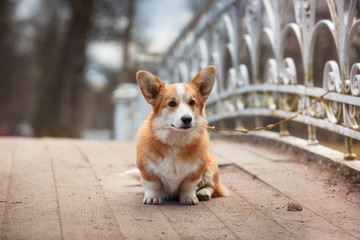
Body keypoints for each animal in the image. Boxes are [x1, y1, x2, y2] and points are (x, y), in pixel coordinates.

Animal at [135, 65, 228, 204]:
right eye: (172, 103)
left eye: (192, 102)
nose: (187, 119)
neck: (176, 140)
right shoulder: (147, 170)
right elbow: (153, 185)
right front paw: (152, 197)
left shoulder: (195, 172)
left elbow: (188, 186)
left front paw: (189, 198)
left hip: (211, 164)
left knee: (213, 187)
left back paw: (204, 193)